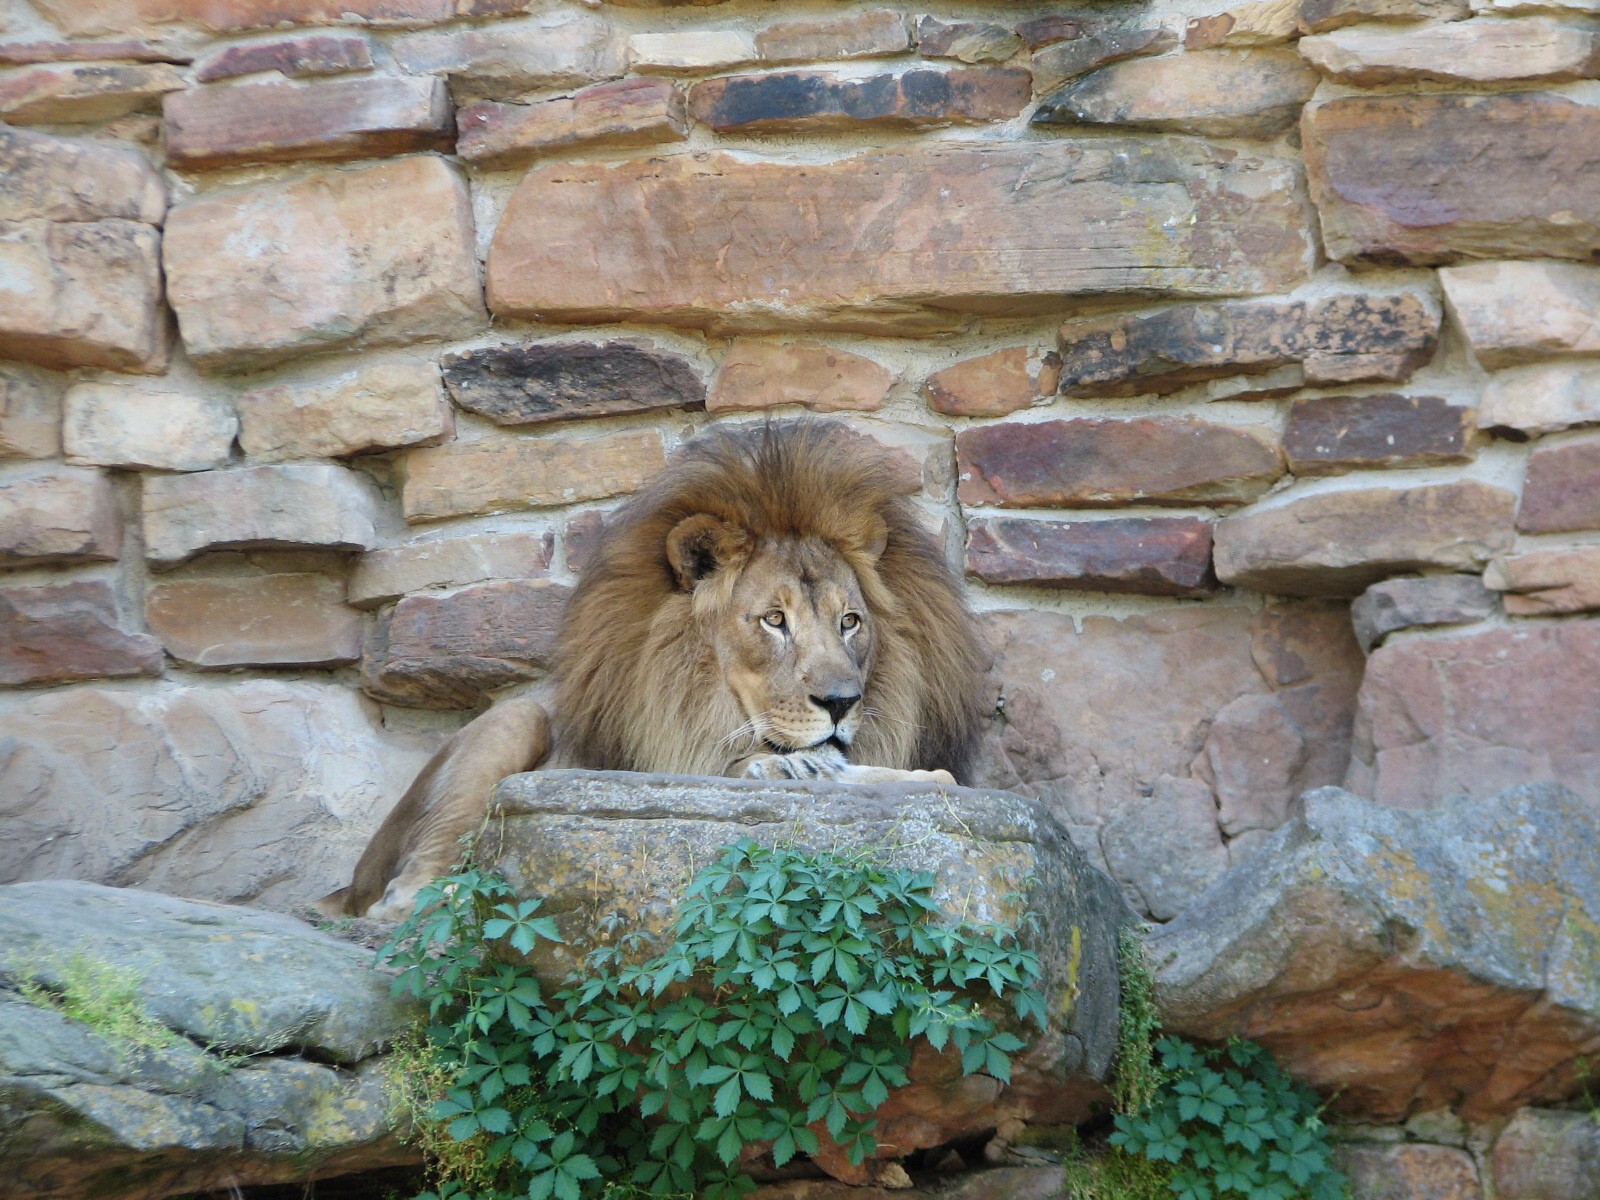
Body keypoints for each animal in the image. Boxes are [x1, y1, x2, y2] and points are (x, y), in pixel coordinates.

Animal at [322, 421, 989, 920]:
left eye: (850, 621)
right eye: (774, 620)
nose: (842, 703)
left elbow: (925, 780)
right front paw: (776, 766)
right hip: (514, 720)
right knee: (407, 889)